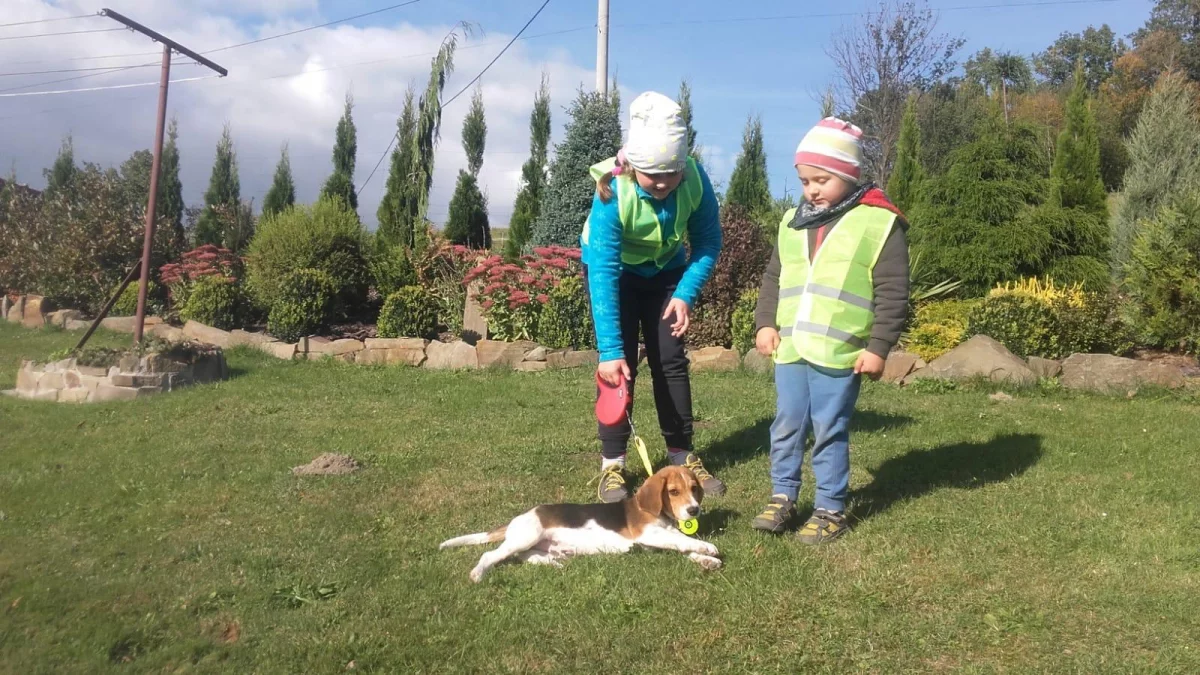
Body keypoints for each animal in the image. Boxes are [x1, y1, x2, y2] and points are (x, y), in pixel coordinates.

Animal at [441, 466, 720, 581]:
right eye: (673, 492)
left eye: (694, 488)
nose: (694, 510)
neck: (659, 514)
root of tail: (517, 518)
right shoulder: (648, 535)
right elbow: (681, 540)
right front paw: (706, 548)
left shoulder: (656, 542)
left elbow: (683, 546)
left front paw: (706, 560)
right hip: (526, 536)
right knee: (491, 555)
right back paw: (478, 574)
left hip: (532, 543)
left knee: (526, 557)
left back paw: (554, 561)